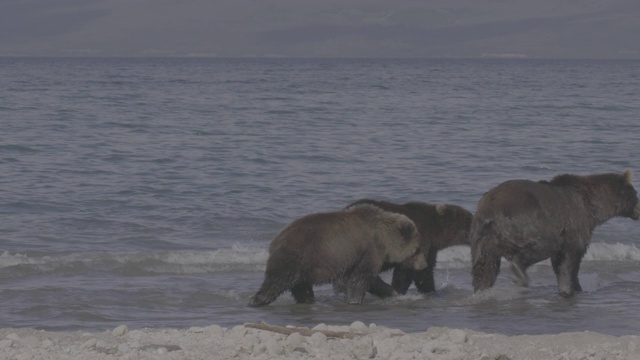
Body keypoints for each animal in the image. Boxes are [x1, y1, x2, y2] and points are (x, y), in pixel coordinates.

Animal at [248, 204, 428, 306]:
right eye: (417, 248)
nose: (424, 264)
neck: (385, 239)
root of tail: (275, 239)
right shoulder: (369, 249)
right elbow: (362, 277)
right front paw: (355, 300)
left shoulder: (356, 257)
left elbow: (371, 280)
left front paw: (394, 293)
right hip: (296, 255)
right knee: (277, 280)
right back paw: (256, 300)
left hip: (304, 267)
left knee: (301, 286)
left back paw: (307, 300)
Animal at [338, 198, 472, 296]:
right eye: (470, 220)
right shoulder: (417, 239)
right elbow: (406, 269)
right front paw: (399, 290)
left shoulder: (430, 249)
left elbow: (425, 271)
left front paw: (430, 290)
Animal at [470, 170, 640, 296]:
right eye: (636, 194)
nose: (639, 211)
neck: (594, 206)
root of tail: (489, 210)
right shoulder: (575, 224)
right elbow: (569, 260)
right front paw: (569, 289)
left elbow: (560, 263)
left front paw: (575, 288)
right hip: (528, 220)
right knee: (546, 244)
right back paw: (518, 271)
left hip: (483, 240)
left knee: (484, 268)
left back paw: (482, 289)